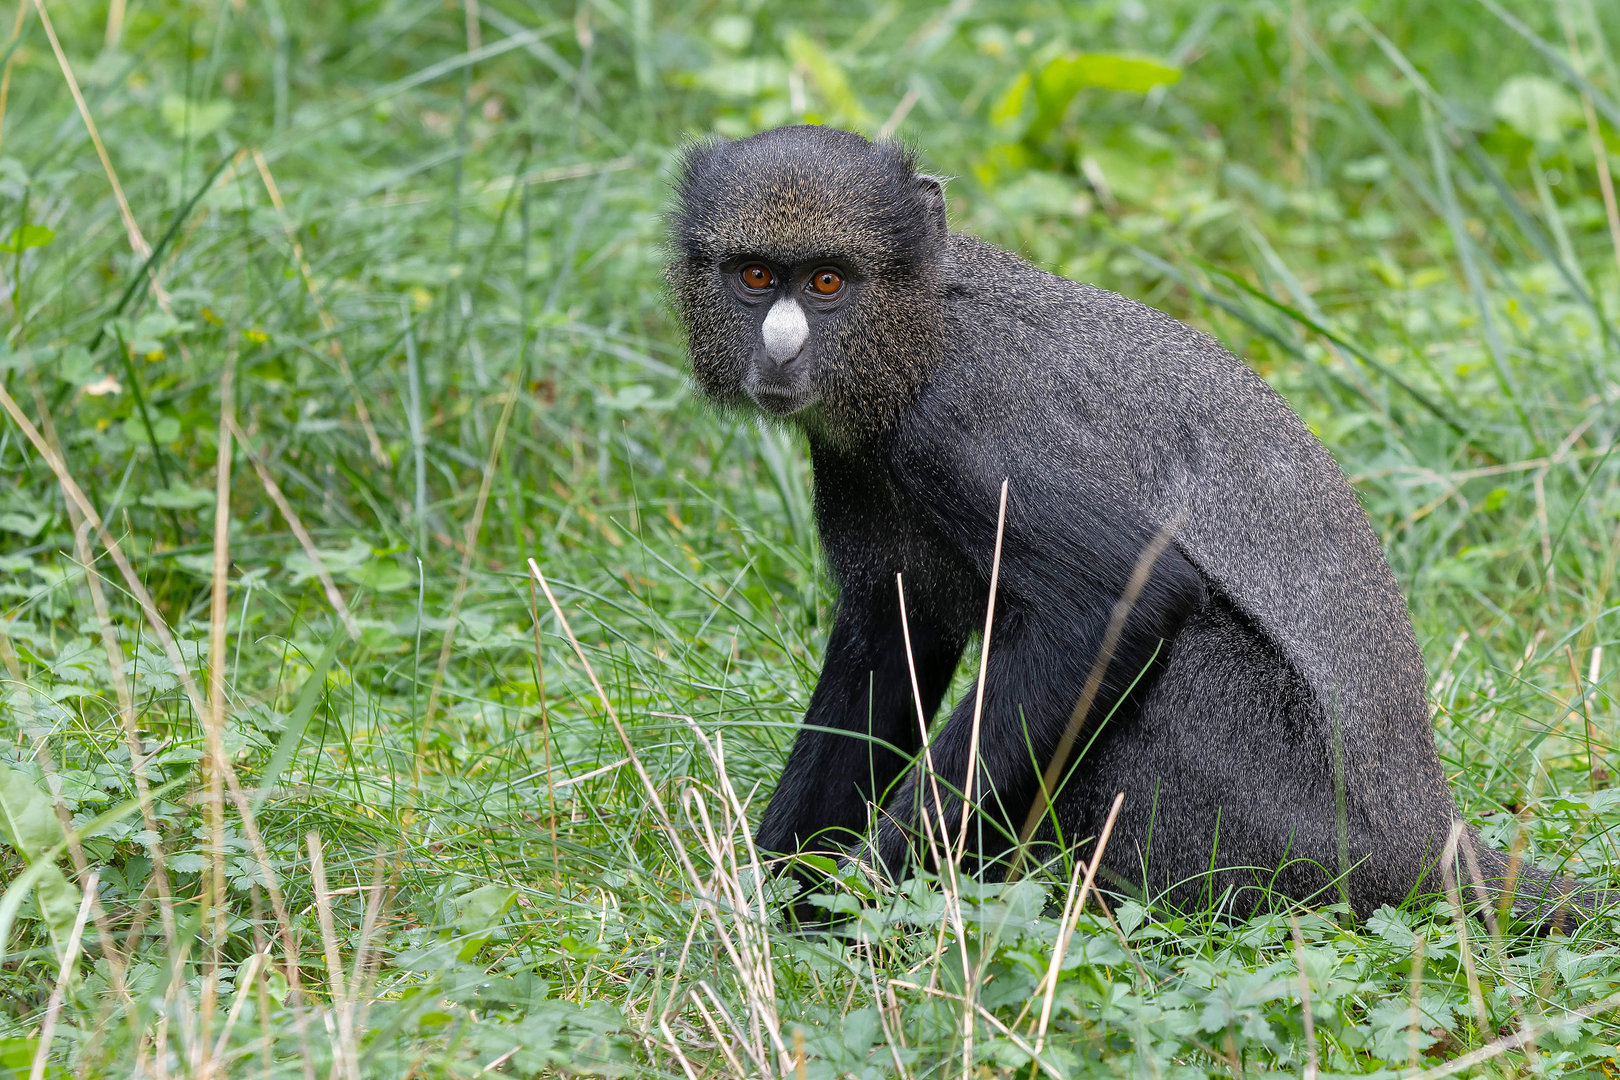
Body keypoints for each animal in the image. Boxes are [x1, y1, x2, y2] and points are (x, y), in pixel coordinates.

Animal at [665, 124, 1603, 925]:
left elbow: (1118, 600)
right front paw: (769, 910)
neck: (919, 335)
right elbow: (886, 651)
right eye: (756, 277)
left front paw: (862, 909)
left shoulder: (967, 422)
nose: (781, 348)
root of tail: (1427, 844)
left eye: (827, 282)